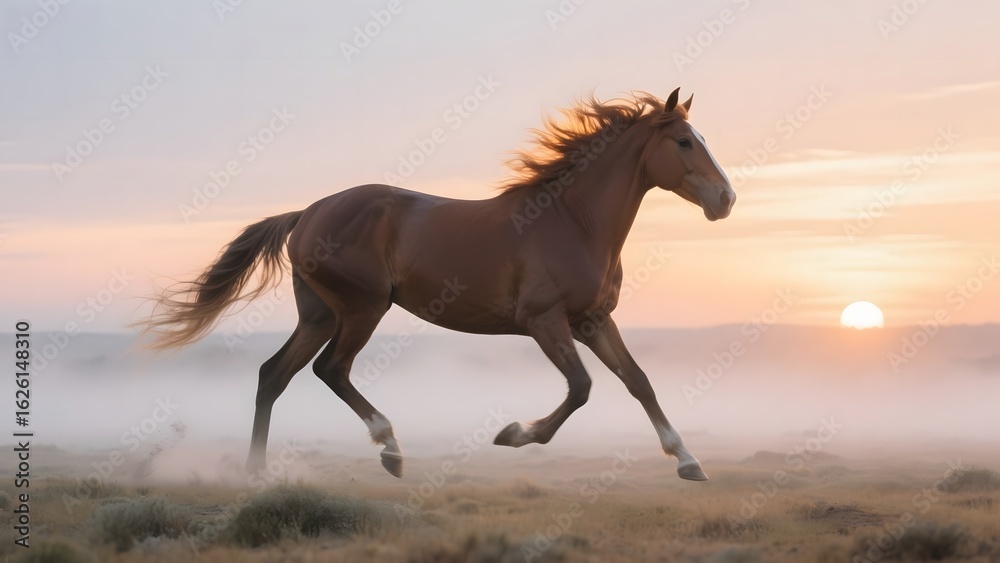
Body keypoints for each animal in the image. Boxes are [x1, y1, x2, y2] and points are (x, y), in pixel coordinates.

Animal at [140, 87, 735, 482]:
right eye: (685, 141)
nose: (726, 200)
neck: (572, 220)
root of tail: (306, 213)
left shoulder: (593, 320)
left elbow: (638, 381)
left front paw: (688, 461)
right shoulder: (544, 322)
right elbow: (582, 388)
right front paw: (514, 434)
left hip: (321, 314)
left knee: (273, 375)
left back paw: (257, 473)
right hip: (363, 308)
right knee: (329, 370)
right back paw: (389, 449)